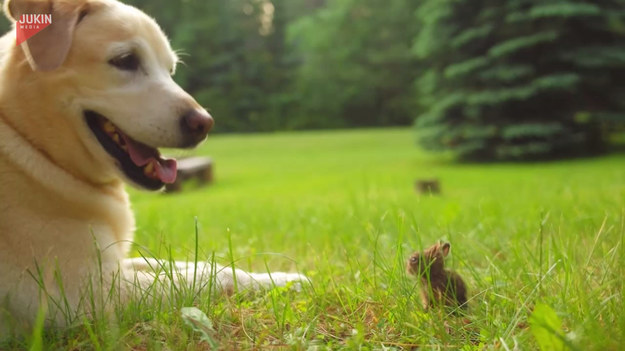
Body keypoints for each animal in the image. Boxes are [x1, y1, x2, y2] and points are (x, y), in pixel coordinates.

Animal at [0, 0, 308, 336]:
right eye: (125, 60)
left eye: (170, 70)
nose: (205, 124)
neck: (30, 140)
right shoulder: (88, 294)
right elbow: (209, 277)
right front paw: (275, 281)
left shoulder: (117, 265)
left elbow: (192, 265)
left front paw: (282, 278)